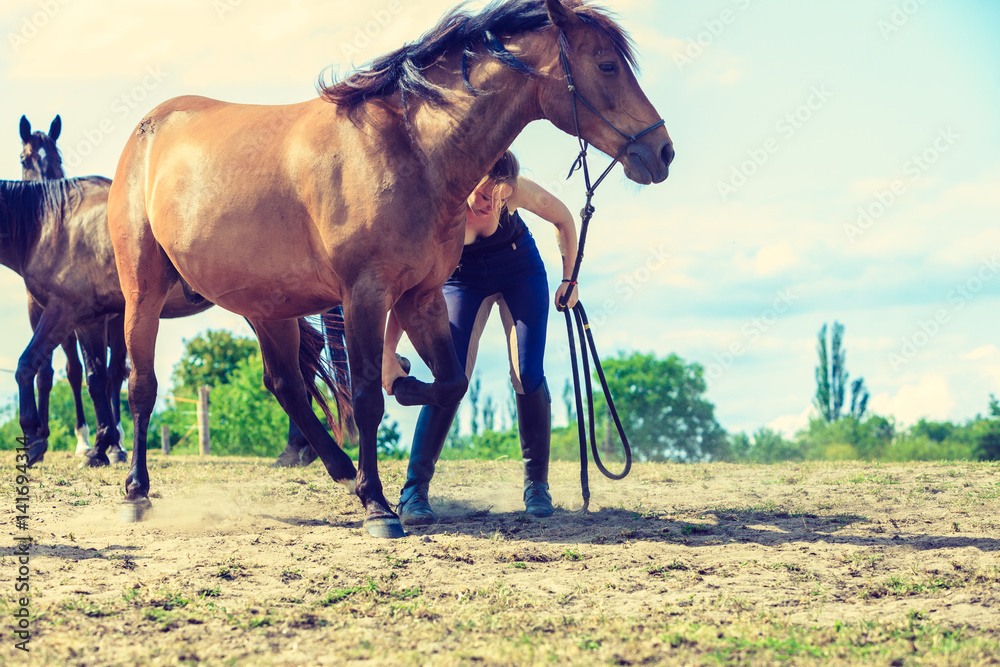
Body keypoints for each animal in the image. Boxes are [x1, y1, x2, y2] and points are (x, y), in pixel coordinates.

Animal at [106, 0, 673, 539]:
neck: (410, 151)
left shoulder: (421, 295)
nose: (663, 151)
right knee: (141, 386)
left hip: (267, 305)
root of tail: (148, 128)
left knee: (285, 384)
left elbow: (449, 384)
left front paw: (401, 392)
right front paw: (378, 505)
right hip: (144, 292)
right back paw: (137, 494)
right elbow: (365, 399)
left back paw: (339, 469)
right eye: (606, 64)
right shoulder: (364, 295)